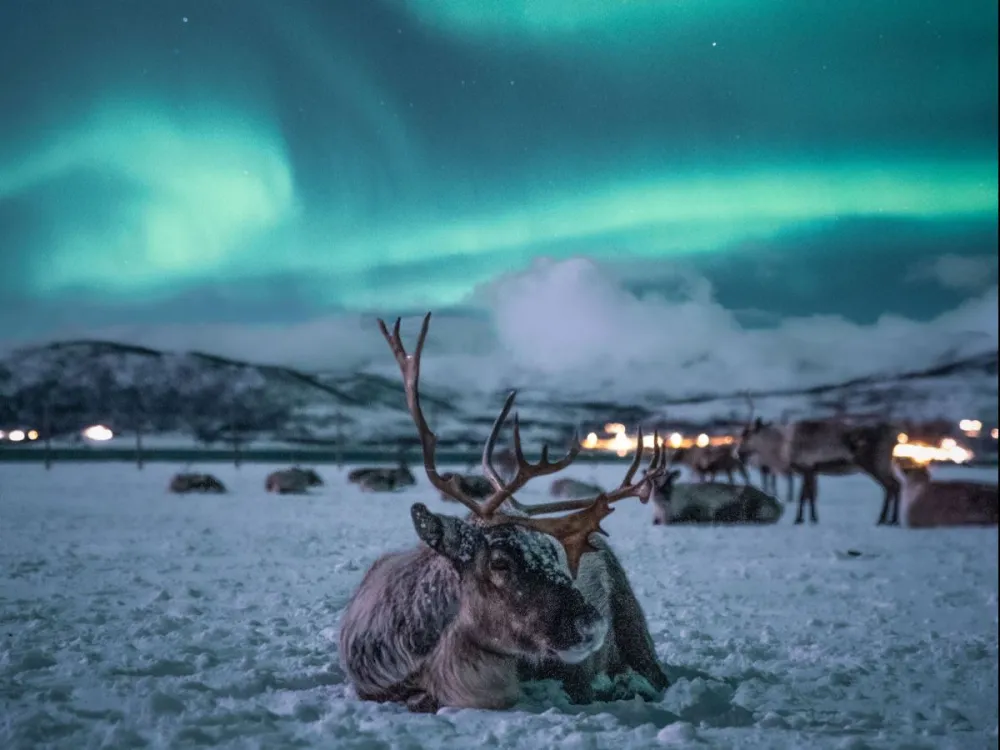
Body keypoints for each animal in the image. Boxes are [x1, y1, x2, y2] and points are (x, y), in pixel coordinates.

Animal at [737, 395, 900, 525]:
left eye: (747, 435)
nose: (739, 453)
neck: (782, 446)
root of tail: (894, 436)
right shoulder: (811, 470)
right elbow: (809, 495)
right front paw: (810, 519)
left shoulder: (806, 468)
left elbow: (804, 496)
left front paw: (801, 519)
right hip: (884, 465)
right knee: (896, 485)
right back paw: (892, 520)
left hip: (874, 464)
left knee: (890, 486)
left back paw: (883, 519)